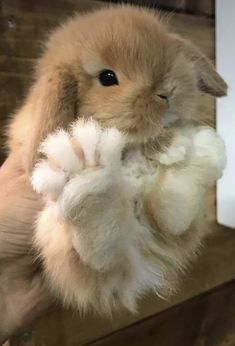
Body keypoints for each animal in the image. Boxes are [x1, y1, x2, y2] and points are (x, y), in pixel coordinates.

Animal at [7, 5, 227, 314]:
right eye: (107, 77)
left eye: (169, 52)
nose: (167, 92)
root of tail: (136, 269)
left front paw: (171, 144)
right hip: (55, 236)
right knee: (96, 254)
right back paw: (86, 168)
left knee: (170, 217)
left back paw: (198, 153)